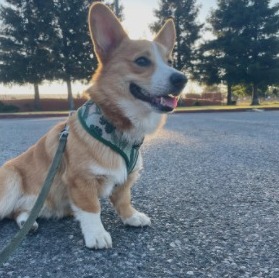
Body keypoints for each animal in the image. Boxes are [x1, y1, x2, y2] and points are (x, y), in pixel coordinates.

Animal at [1, 3, 188, 249]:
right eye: (141, 61)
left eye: (170, 62)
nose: (182, 79)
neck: (116, 127)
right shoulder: (81, 180)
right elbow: (92, 209)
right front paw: (97, 235)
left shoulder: (126, 179)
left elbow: (124, 199)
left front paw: (131, 216)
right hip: (10, 182)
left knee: (19, 212)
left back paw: (27, 223)